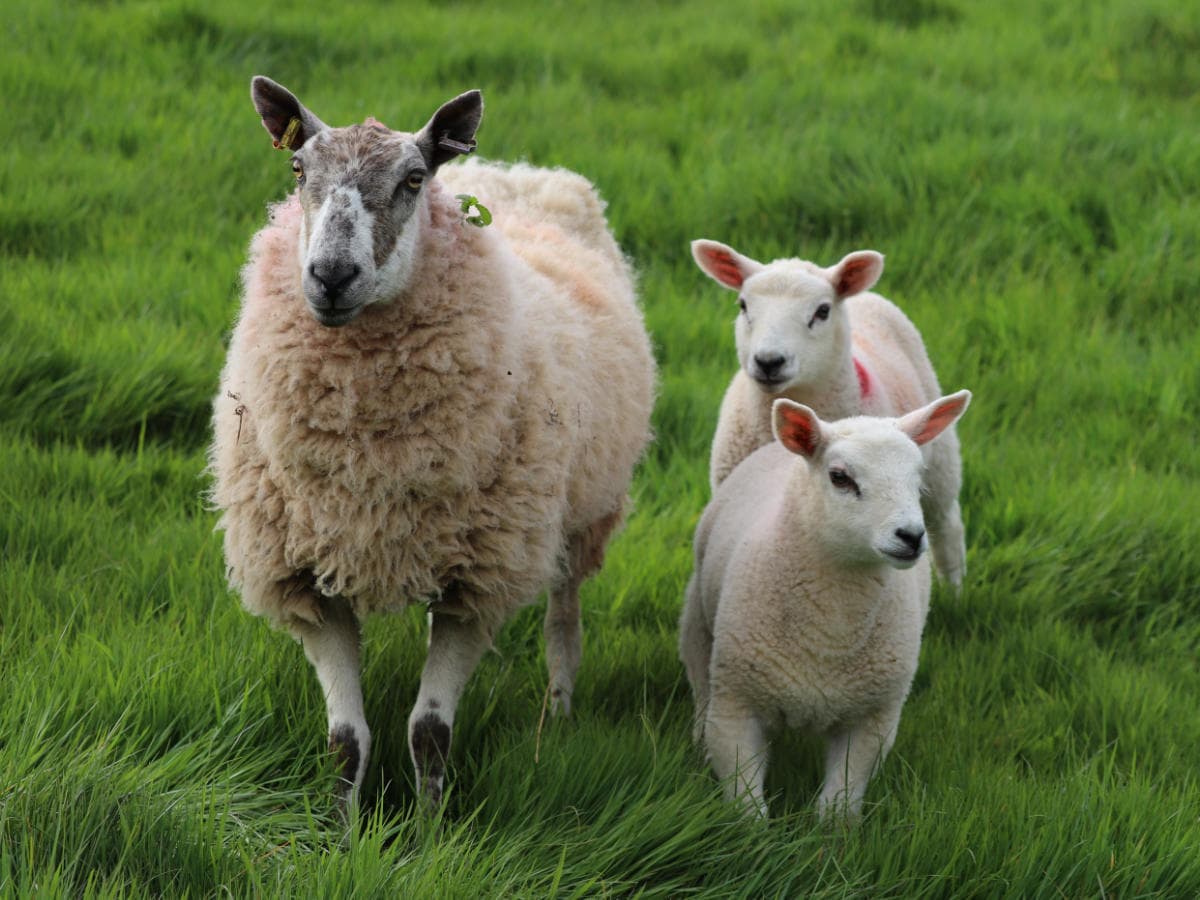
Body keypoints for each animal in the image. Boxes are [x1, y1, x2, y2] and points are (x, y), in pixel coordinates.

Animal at [209, 76, 656, 809]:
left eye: (412, 180)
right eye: (298, 170)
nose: (330, 276)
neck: (368, 461)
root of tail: (515, 171)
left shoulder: (477, 582)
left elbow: (429, 733)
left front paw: (429, 826)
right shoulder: (307, 579)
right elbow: (346, 741)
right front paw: (343, 828)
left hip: (581, 511)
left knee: (564, 618)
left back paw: (559, 714)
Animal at [678, 391, 971, 820]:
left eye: (918, 478)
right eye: (840, 477)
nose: (911, 536)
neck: (831, 629)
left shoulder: (873, 719)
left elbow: (838, 807)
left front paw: (831, 837)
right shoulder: (736, 707)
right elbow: (747, 807)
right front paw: (750, 833)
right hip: (699, 624)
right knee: (700, 682)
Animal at [691, 240, 968, 590]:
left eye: (822, 311)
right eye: (743, 305)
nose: (769, 361)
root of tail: (864, 296)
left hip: (941, 464)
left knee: (947, 526)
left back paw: (954, 591)